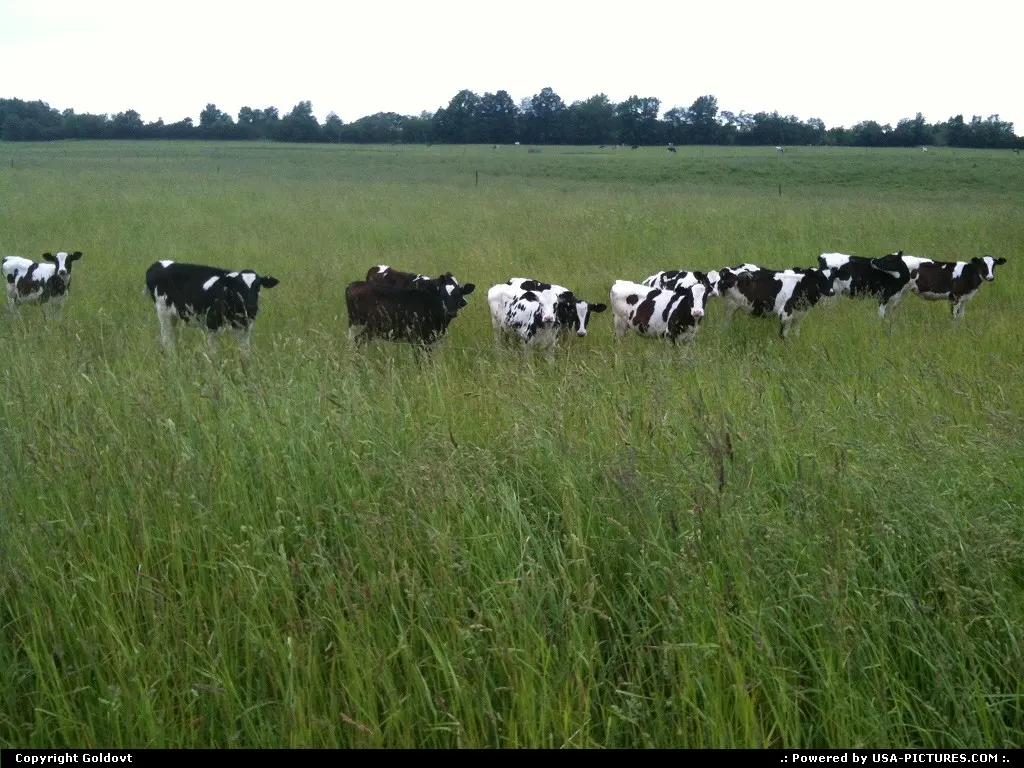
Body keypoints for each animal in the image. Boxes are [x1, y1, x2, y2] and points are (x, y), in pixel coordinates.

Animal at [144, 260, 279, 355]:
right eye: (238, 288)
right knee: (166, 340)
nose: (251, 307)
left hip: (173, 316)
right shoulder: (212, 327)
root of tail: (159, 264)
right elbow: (213, 354)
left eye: (258, 287)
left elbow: (245, 354)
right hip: (163, 314)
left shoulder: (245, 329)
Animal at [346, 275, 475, 347]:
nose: (450, 313)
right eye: (442, 295)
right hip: (361, 325)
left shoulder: (429, 339)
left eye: (459, 295)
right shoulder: (416, 337)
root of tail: (354, 284)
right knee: (357, 340)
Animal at [872, 253, 1007, 318]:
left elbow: (961, 316)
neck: (966, 274)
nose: (990, 277)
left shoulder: (965, 299)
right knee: (882, 305)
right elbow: (954, 317)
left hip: (902, 291)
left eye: (994, 265)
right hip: (890, 290)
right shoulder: (955, 297)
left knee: (891, 307)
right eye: (982, 264)